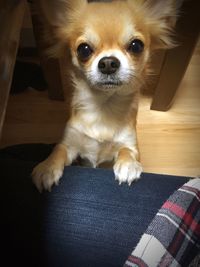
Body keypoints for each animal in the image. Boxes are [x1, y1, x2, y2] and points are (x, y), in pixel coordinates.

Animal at [32, 0, 177, 193]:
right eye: (83, 49)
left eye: (136, 45)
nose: (108, 62)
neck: (104, 105)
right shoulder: (70, 143)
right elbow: (58, 150)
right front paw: (47, 167)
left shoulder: (130, 143)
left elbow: (127, 151)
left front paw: (128, 164)